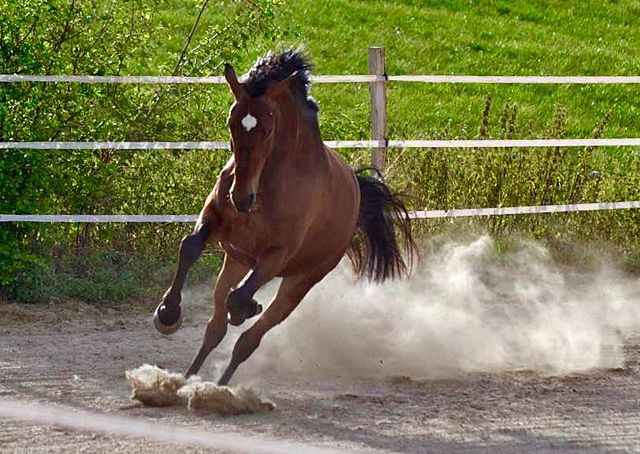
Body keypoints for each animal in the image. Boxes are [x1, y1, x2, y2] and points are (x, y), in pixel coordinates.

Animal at [152, 49, 418, 384]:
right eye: (230, 123)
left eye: (268, 129)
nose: (241, 198)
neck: (267, 185)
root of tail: (357, 188)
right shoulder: (214, 221)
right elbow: (189, 247)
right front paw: (167, 314)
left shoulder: (277, 254)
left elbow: (237, 302)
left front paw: (246, 307)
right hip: (237, 261)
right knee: (216, 328)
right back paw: (188, 379)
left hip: (300, 281)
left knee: (248, 339)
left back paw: (222, 380)